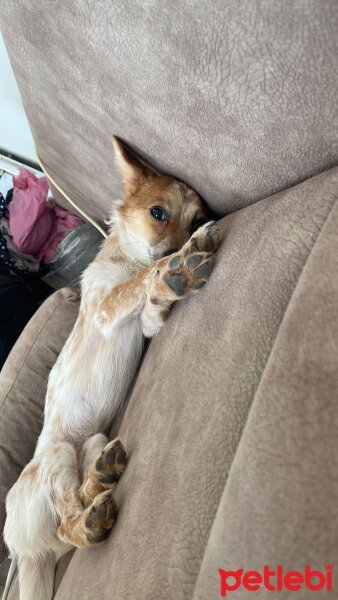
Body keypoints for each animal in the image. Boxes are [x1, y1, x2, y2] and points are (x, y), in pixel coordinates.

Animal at [3, 138, 220, 596]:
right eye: (158, 213)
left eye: (197, 217)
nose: (178, 246)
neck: (125, 258)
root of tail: (23, 554)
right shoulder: (105, 308)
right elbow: (141, 278)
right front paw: (180, 260)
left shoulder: (146, 324)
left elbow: (152, 302)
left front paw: (175, 278)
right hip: (57, 455)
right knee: (69, 527)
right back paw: (92, 518)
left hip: (94, 438)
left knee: (79, 512)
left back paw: (102, 476)